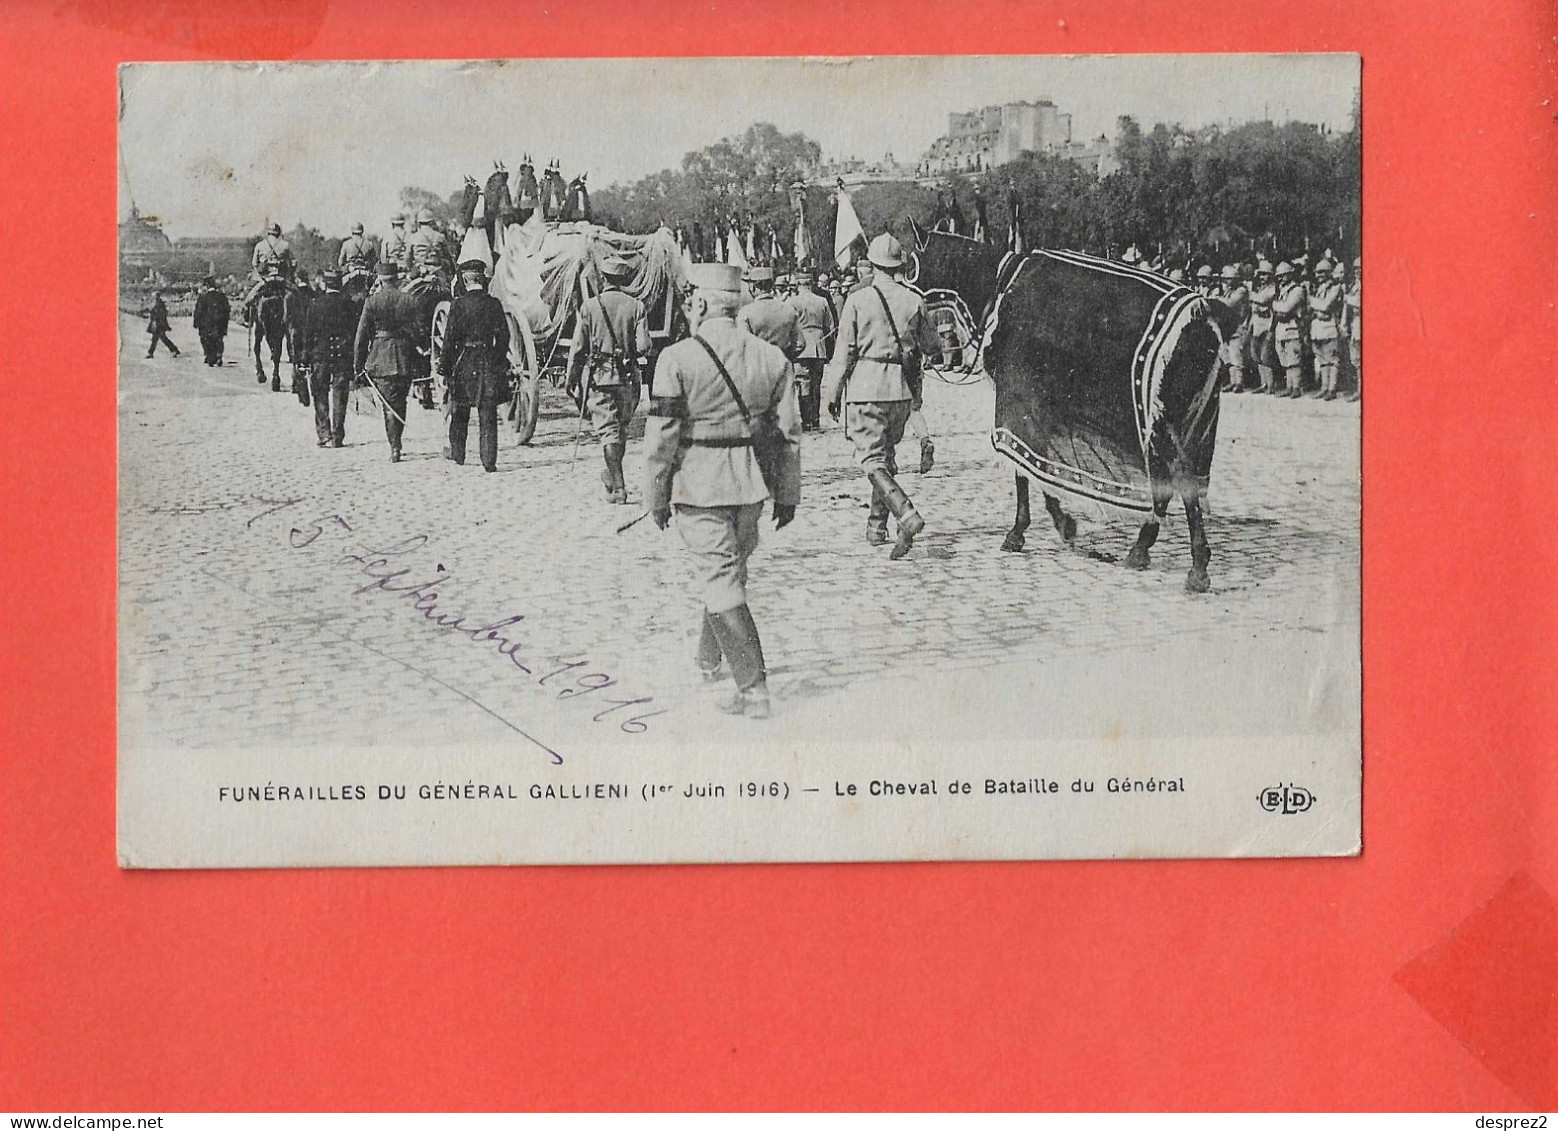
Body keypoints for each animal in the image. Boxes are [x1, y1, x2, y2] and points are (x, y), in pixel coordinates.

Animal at [909, 222, 1233, 595]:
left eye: (910, 263)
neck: (999, 286)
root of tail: (1203, 322)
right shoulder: (1043, 414)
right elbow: (1038, 468)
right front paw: (1056, 524)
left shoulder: (1020, 405)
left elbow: (1027, 470)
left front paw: (1033, 529)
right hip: (1176, 424)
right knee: (1167, 484)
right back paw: (1141, 550)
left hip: (1165, 424)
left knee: (1182, 481)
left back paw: (1196, 567)